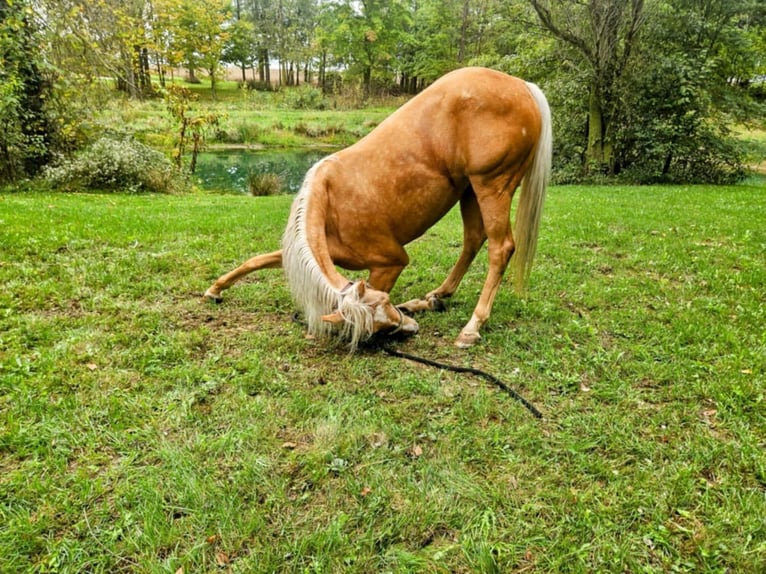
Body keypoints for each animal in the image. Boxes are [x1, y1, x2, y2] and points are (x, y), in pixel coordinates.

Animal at [204, 67, 552, 350]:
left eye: (383, 311)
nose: (411, 329)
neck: (330, 203)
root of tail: (522, 86)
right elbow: (257, 260)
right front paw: (216, 289)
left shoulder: (390, 263)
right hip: (470, 190)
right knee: (473, 240)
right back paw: (434, 298)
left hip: (492, 186)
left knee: (500, 248)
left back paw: (471, 327)